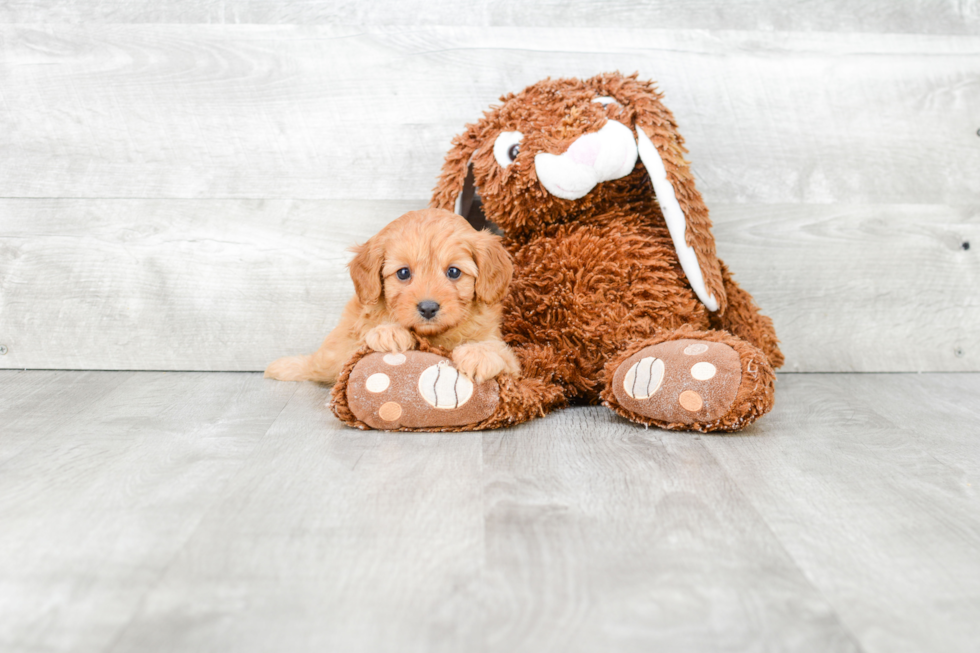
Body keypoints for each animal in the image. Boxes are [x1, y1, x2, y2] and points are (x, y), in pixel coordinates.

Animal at [260, 208, 520, 382]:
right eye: (403, 273)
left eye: (454, 272)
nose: (428, 308)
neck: (433, 336)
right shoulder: (351, 343)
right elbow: (358, 344)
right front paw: (389, 331)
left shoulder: (511, 360)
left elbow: (502, 353)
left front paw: (480, 354)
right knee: (318, 363)